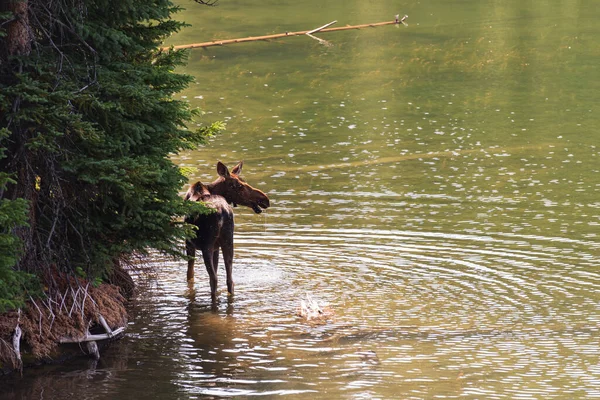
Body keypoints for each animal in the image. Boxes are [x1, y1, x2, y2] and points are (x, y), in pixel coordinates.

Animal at [182, 161, 268, 302]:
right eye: (240, 185)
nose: (266, 199)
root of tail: (222, 211)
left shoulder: (189, 243)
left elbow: (190, 274)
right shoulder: (216, 247)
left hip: (207, 245)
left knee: (214, 279)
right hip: (228, 241)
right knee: (230, 280)